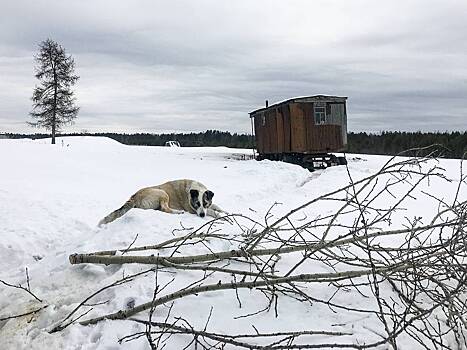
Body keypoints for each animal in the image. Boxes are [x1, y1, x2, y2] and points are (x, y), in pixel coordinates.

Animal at [98, 179, 227, 226]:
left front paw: (225, 212)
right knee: (165, 208)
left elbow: (216, 206)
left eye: (205, 203)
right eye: (197, 204)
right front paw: (222, 217)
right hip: (162, 193)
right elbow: (212, 211)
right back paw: (178, 212)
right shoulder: (192, 209)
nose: (202, 215)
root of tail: (134, 197)